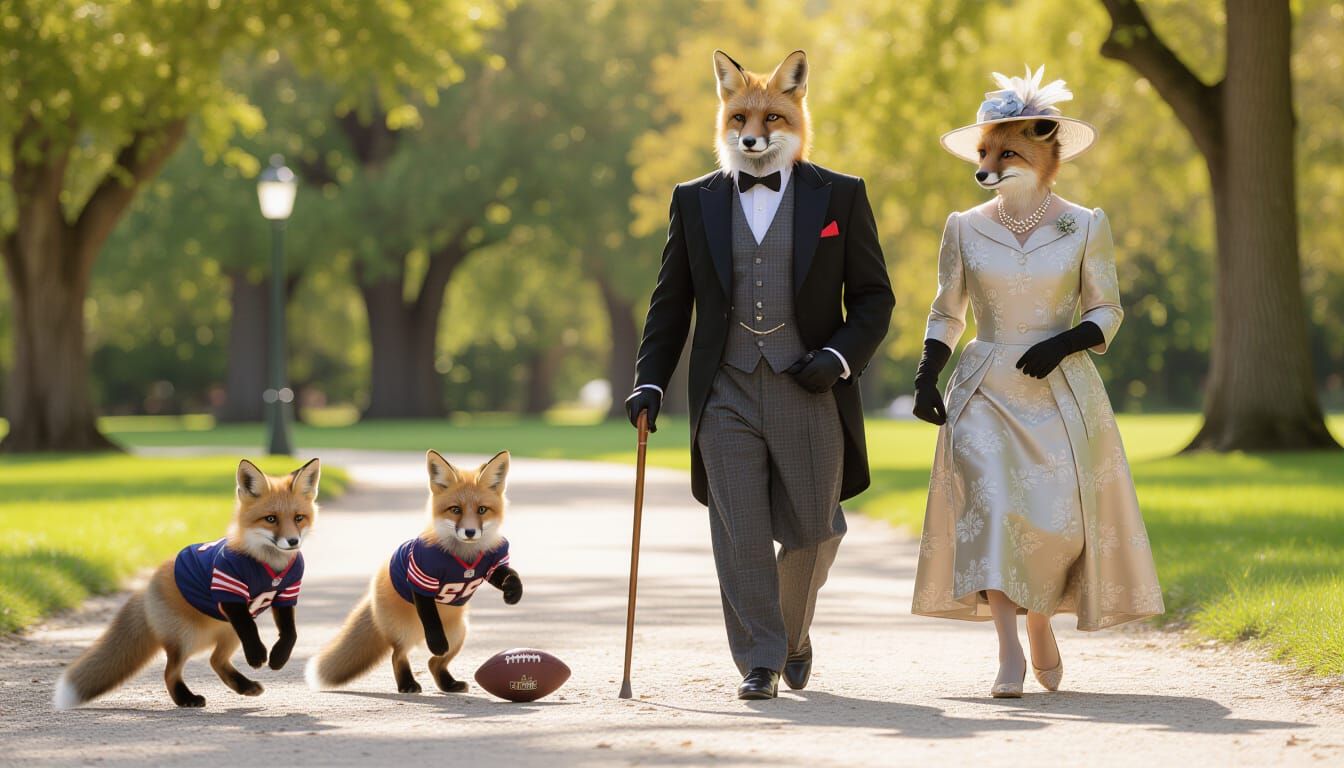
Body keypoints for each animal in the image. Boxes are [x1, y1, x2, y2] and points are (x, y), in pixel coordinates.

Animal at [53, 458, 320, 709]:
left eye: (298, 518)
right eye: (271, 519)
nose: (293, 541)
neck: (268, 564)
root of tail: (146, 589)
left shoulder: (286, 594)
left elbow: (290, 633)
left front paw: (278, 657)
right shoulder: (228, 590)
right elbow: (250, 628)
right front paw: (256, 655)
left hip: (227, 633)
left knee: (216, 661)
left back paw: (244, 686)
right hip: (187, 638)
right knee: (170, 671)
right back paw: (186, 698)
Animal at [306, 450, 522, 694]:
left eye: (482, 510)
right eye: (455, 510)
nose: (469, 532)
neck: (465, 556)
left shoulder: (493, 562)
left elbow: (508, 574)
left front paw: (513, 591)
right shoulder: (422, 576)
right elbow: (430, 618)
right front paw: (436, 642)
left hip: (459, 633)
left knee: (433, 663)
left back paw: (449, 684)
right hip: (405, 632)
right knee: (397, 655)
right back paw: (408, 683)